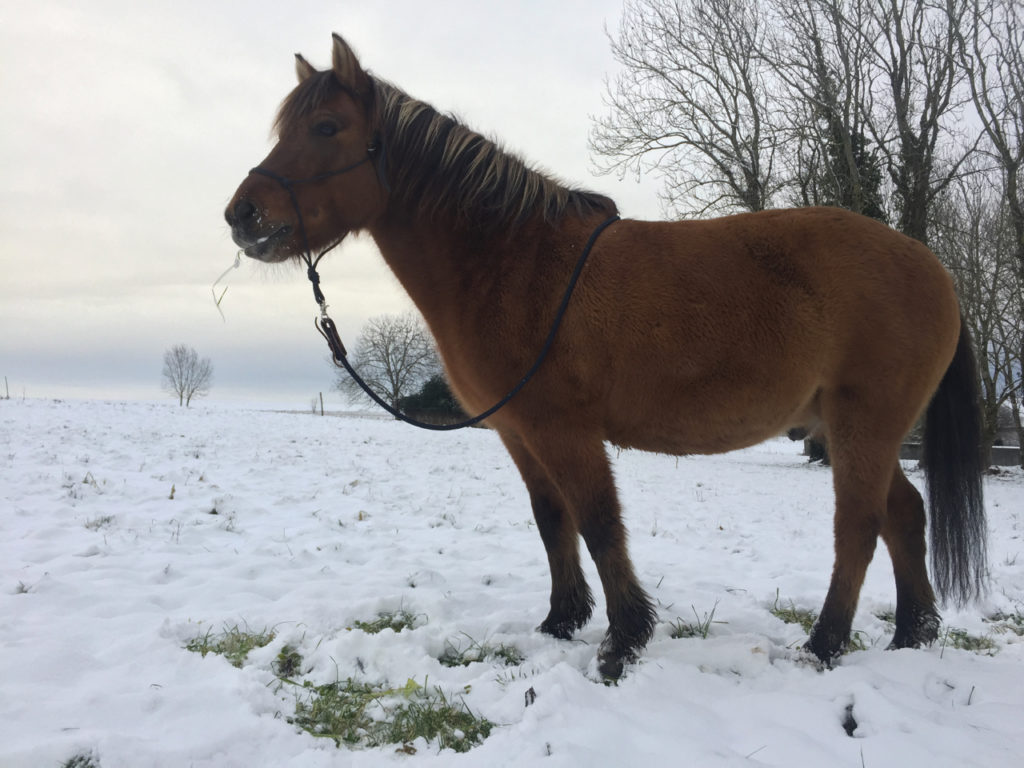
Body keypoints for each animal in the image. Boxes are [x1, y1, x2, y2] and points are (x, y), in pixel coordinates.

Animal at [224, 34, 983, 679]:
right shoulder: (519, 431)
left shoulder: (566, 430)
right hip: (858, 429)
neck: (514, 261)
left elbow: (597, 521)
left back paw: (825, 645)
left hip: (863, 427)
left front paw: (622, 641)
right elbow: (552, 520)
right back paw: (912, 634)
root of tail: (932, 267)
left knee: (858, 526)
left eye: (327, 128)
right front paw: (563, 621)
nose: (242, 216)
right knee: (904, 515)